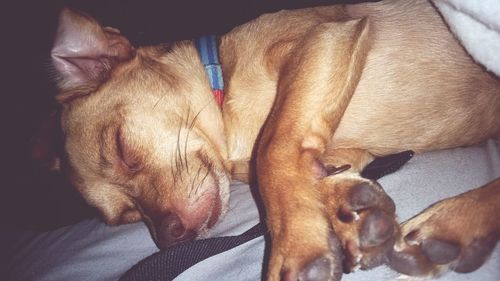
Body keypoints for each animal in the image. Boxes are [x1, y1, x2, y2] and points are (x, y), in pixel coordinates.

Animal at [47, 1, 500, 278]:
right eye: (127, 217)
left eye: (122, 149)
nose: (170, 238)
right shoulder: (344, 148)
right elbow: (310, 168)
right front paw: (344, 210)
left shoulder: (326, 37)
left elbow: (272, 153)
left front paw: (295, 242)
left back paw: (451, 223)